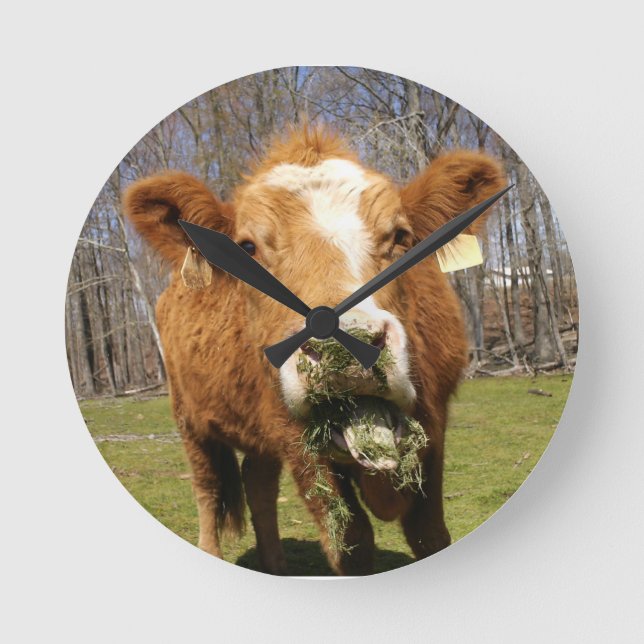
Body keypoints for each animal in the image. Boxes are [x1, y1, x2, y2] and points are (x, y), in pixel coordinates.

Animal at [124, 126, 505, 575]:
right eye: (247, 248)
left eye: (401, 237)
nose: (345, 345)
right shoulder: (295, 439)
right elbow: (351, 541)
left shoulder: (435, 422)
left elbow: (430, 534)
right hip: (189, 417)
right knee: (208, 488)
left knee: (258, 483)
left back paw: (276, 566)